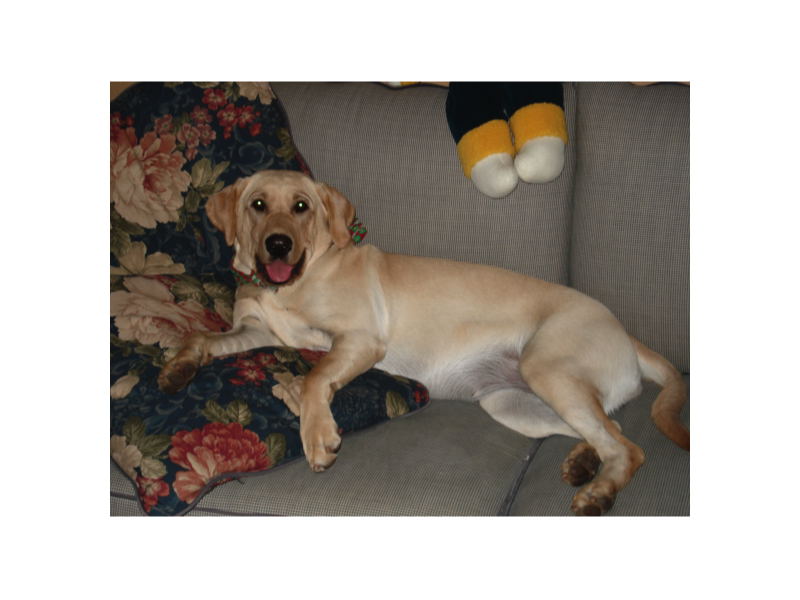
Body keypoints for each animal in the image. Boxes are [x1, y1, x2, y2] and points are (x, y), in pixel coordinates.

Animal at [158, 169, 689, 516]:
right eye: (258, 205)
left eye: (301, 207)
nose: (278, 245)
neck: (286, 286)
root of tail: (625, 332)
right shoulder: (255, 331)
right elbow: (204, 336)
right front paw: (179, 365)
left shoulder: (359, 339)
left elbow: (314, 376)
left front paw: (318, 433)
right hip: (510, 401)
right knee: (608, 431)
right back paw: (584, 462)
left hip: (547, 369)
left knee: (627, 448)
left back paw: (599, 492)